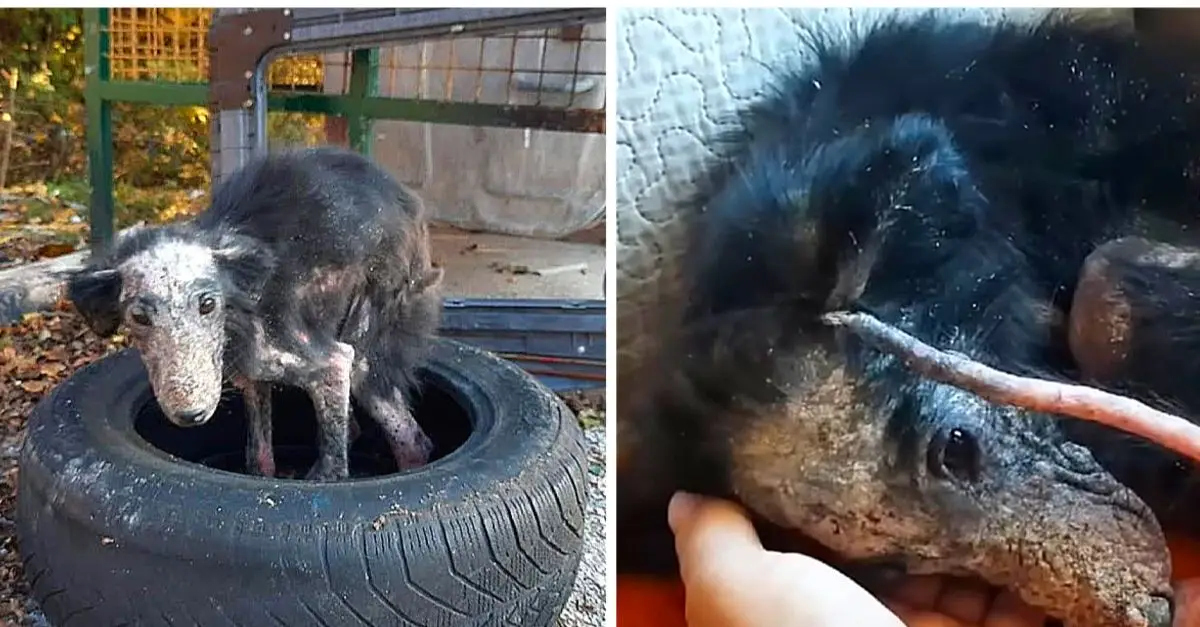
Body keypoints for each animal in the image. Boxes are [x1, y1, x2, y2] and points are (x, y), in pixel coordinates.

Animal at [63, 145, 446, 478]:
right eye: (139, 318)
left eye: (207, 304)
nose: (191, 414)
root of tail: (409, 202)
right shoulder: (252, 377)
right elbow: (258, 458)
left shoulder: (329, 362)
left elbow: (332, 469)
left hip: (368, 345)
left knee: (414, 440)